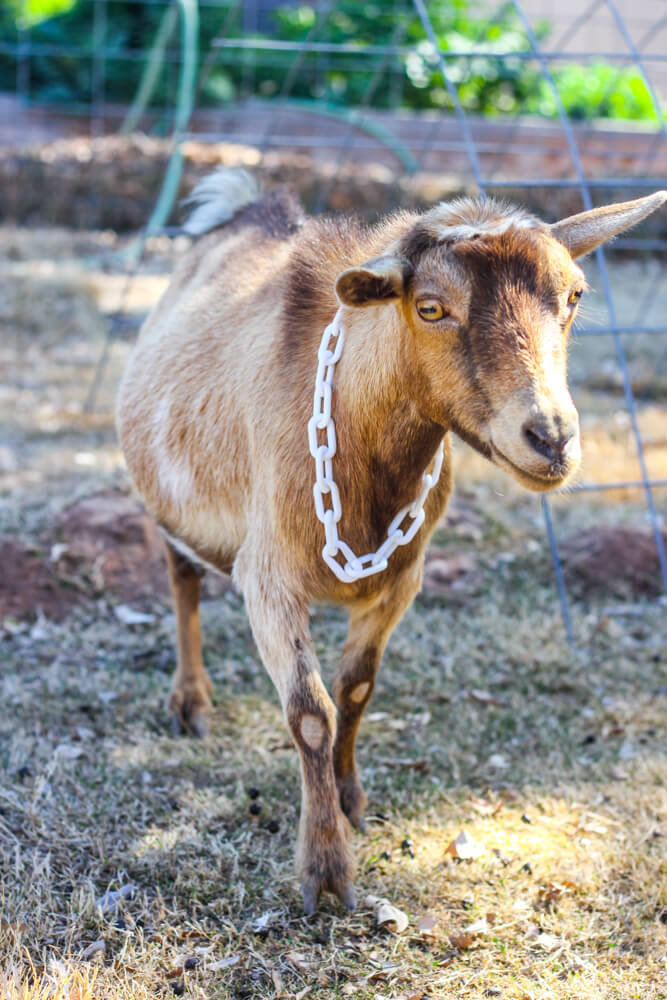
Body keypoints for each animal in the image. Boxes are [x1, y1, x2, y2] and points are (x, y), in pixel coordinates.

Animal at [117, 174, 664, 916]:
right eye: (430, 307)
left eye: (575, 295)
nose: (551, 438)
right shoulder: (268, 580)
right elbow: (310, 713)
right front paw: (325, 872)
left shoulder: (404, 577)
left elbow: (355, 689)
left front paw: (351, 802)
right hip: (173, 508)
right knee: (182, 582)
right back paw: (191, 702)